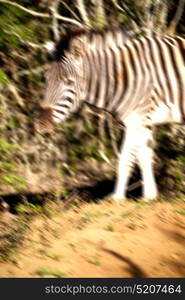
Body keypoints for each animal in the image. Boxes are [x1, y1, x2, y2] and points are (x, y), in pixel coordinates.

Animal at [36, 29, 184, 202]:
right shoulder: (142, 121)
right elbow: (141, 157)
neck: (124, 78)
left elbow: (128, 159)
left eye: (69, 82)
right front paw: (146, 196)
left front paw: (121, 198)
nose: (41, 126)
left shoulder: (137, 119)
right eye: (46, 80)